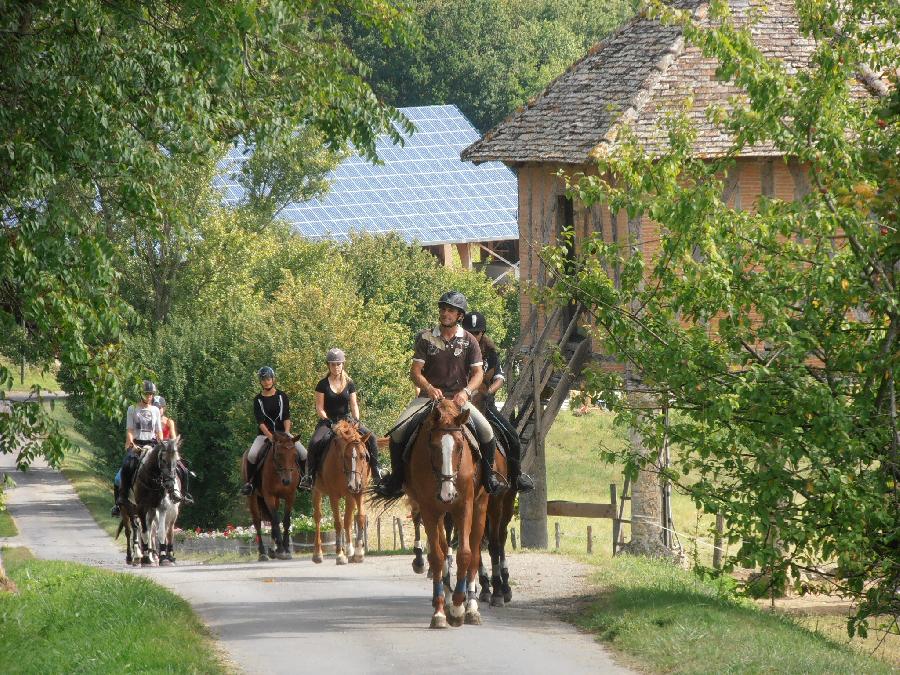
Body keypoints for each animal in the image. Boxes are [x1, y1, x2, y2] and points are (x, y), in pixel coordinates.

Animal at [312, 420, 372, 564]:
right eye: (346, 456)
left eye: (363, 456)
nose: (354, 484)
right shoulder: (334, 495)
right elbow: (338, 522)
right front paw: (340, 555)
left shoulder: (358, 492)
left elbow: (357, 518)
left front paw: (358, 552)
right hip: (317, 491)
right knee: (317, 517)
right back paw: (317, 554)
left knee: (348, 520)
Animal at [400, 402, 486, 628]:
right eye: (433, 446)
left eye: (460, 446)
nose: (448, 494)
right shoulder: (429, 509)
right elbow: (437, 557)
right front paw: (440, 612)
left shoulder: (464, 507)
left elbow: (465, 554)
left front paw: (458, 608)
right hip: (437, 514)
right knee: (441, 549)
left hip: (480, 508)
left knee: (474, 554)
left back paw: (471, 608)